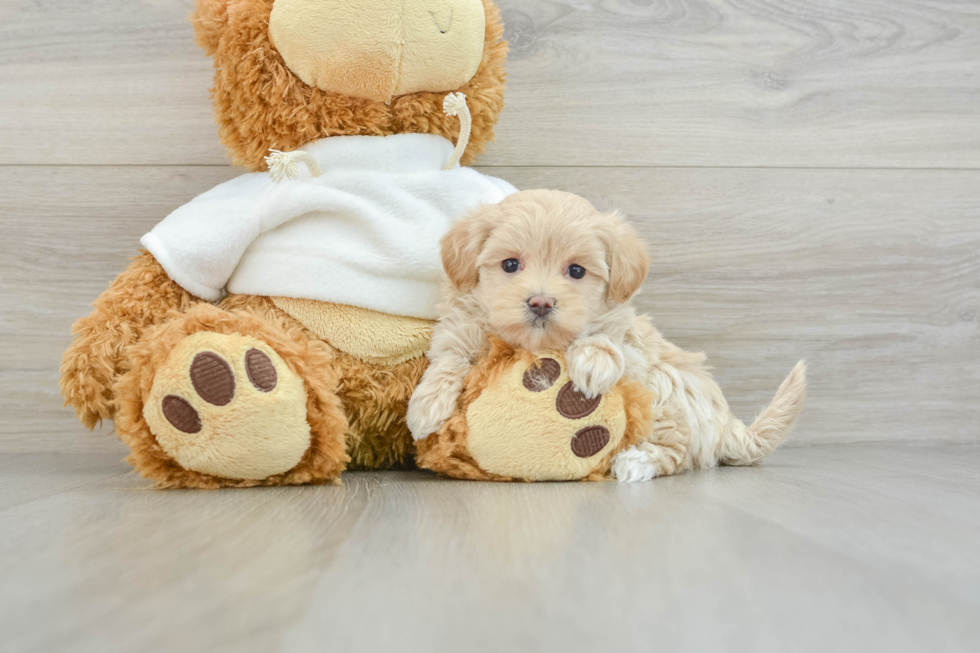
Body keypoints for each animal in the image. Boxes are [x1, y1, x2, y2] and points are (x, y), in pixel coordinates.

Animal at [404, 188, 804, 478]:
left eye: (577, 271)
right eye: (510, 264)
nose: (540, 302)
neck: (537, 344)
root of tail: (726, 426)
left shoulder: (634, 347)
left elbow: (607, 337)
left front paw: (592, 362)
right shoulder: (460, 329)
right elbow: (449, 358)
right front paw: (426, 406)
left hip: (666, 392)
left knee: (676, 449)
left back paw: (636, 463)